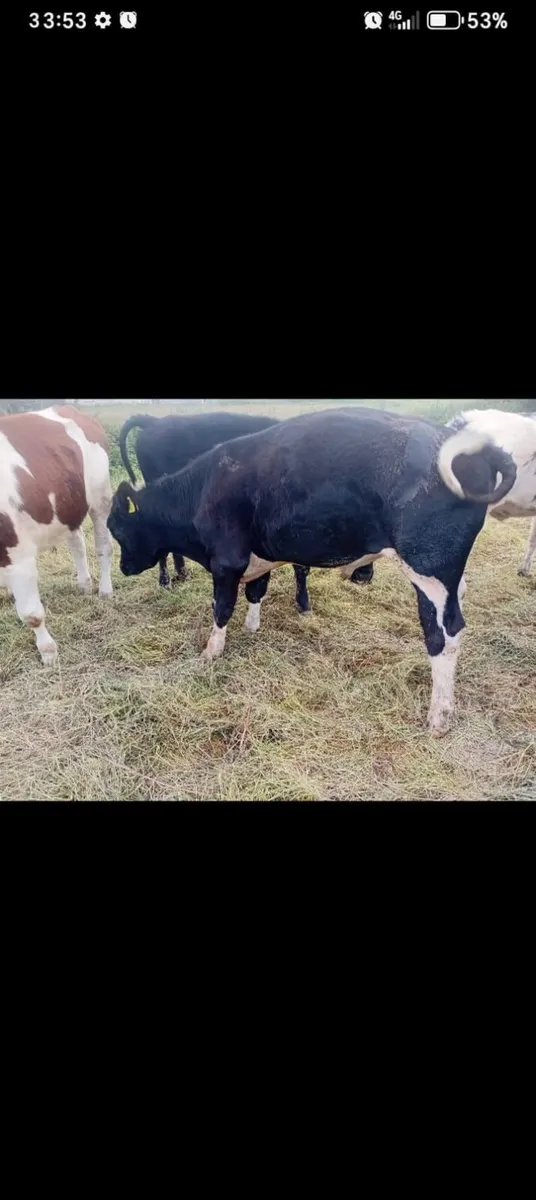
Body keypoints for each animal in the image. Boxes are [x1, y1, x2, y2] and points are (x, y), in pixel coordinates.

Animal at [0, 405, 113, 666]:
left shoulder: (18, 552)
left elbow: (31, 614)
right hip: (67, 505)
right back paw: (84, 584)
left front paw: (48, 651)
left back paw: (105, 590)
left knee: (103, 546)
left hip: (101, 498)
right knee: (77, 542)